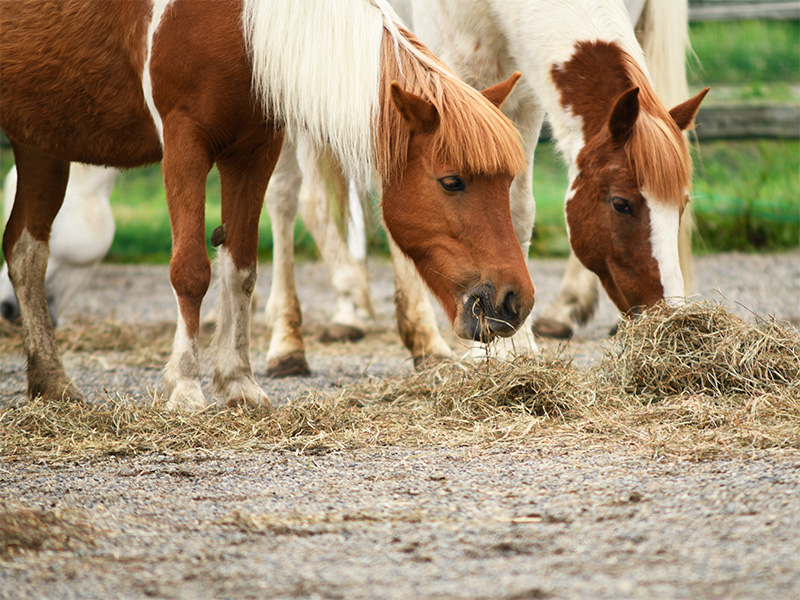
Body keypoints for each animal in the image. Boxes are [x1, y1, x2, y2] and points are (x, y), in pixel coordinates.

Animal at [0, 0, 533, 410]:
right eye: (451, 182)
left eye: (508, 180)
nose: (515, 300)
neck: (238, 23)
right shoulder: (184, 144)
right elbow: (191, 270)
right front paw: (186, 388)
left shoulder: (254, 151)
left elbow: (241, 269)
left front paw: (240, 384)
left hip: (40, 143)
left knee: (25, 251)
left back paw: (51, 384)